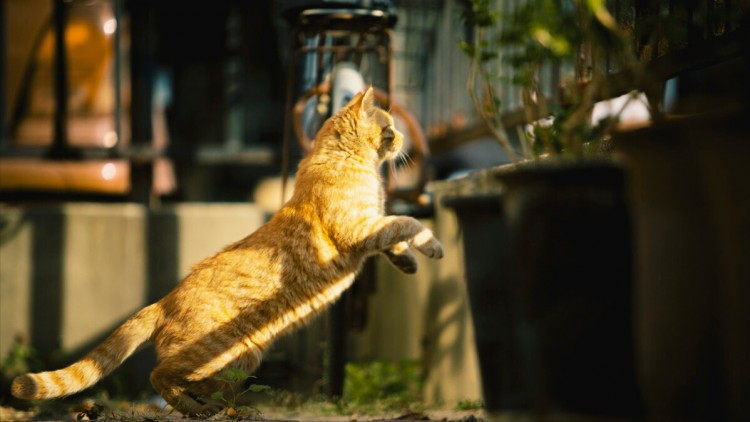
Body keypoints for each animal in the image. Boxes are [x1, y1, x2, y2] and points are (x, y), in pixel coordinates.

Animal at [11, 88, 444, 416]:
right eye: (388, 127)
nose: (404, 139)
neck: (344, 161)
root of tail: (163, 301)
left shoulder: (370, 228)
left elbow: (395, 237)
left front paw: (408, 262)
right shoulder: (358, 228)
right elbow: (407, 223)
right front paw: (432, 245)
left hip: (236, 364)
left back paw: (210, 409)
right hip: (225, 352)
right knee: (159, 375)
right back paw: (196, 410)